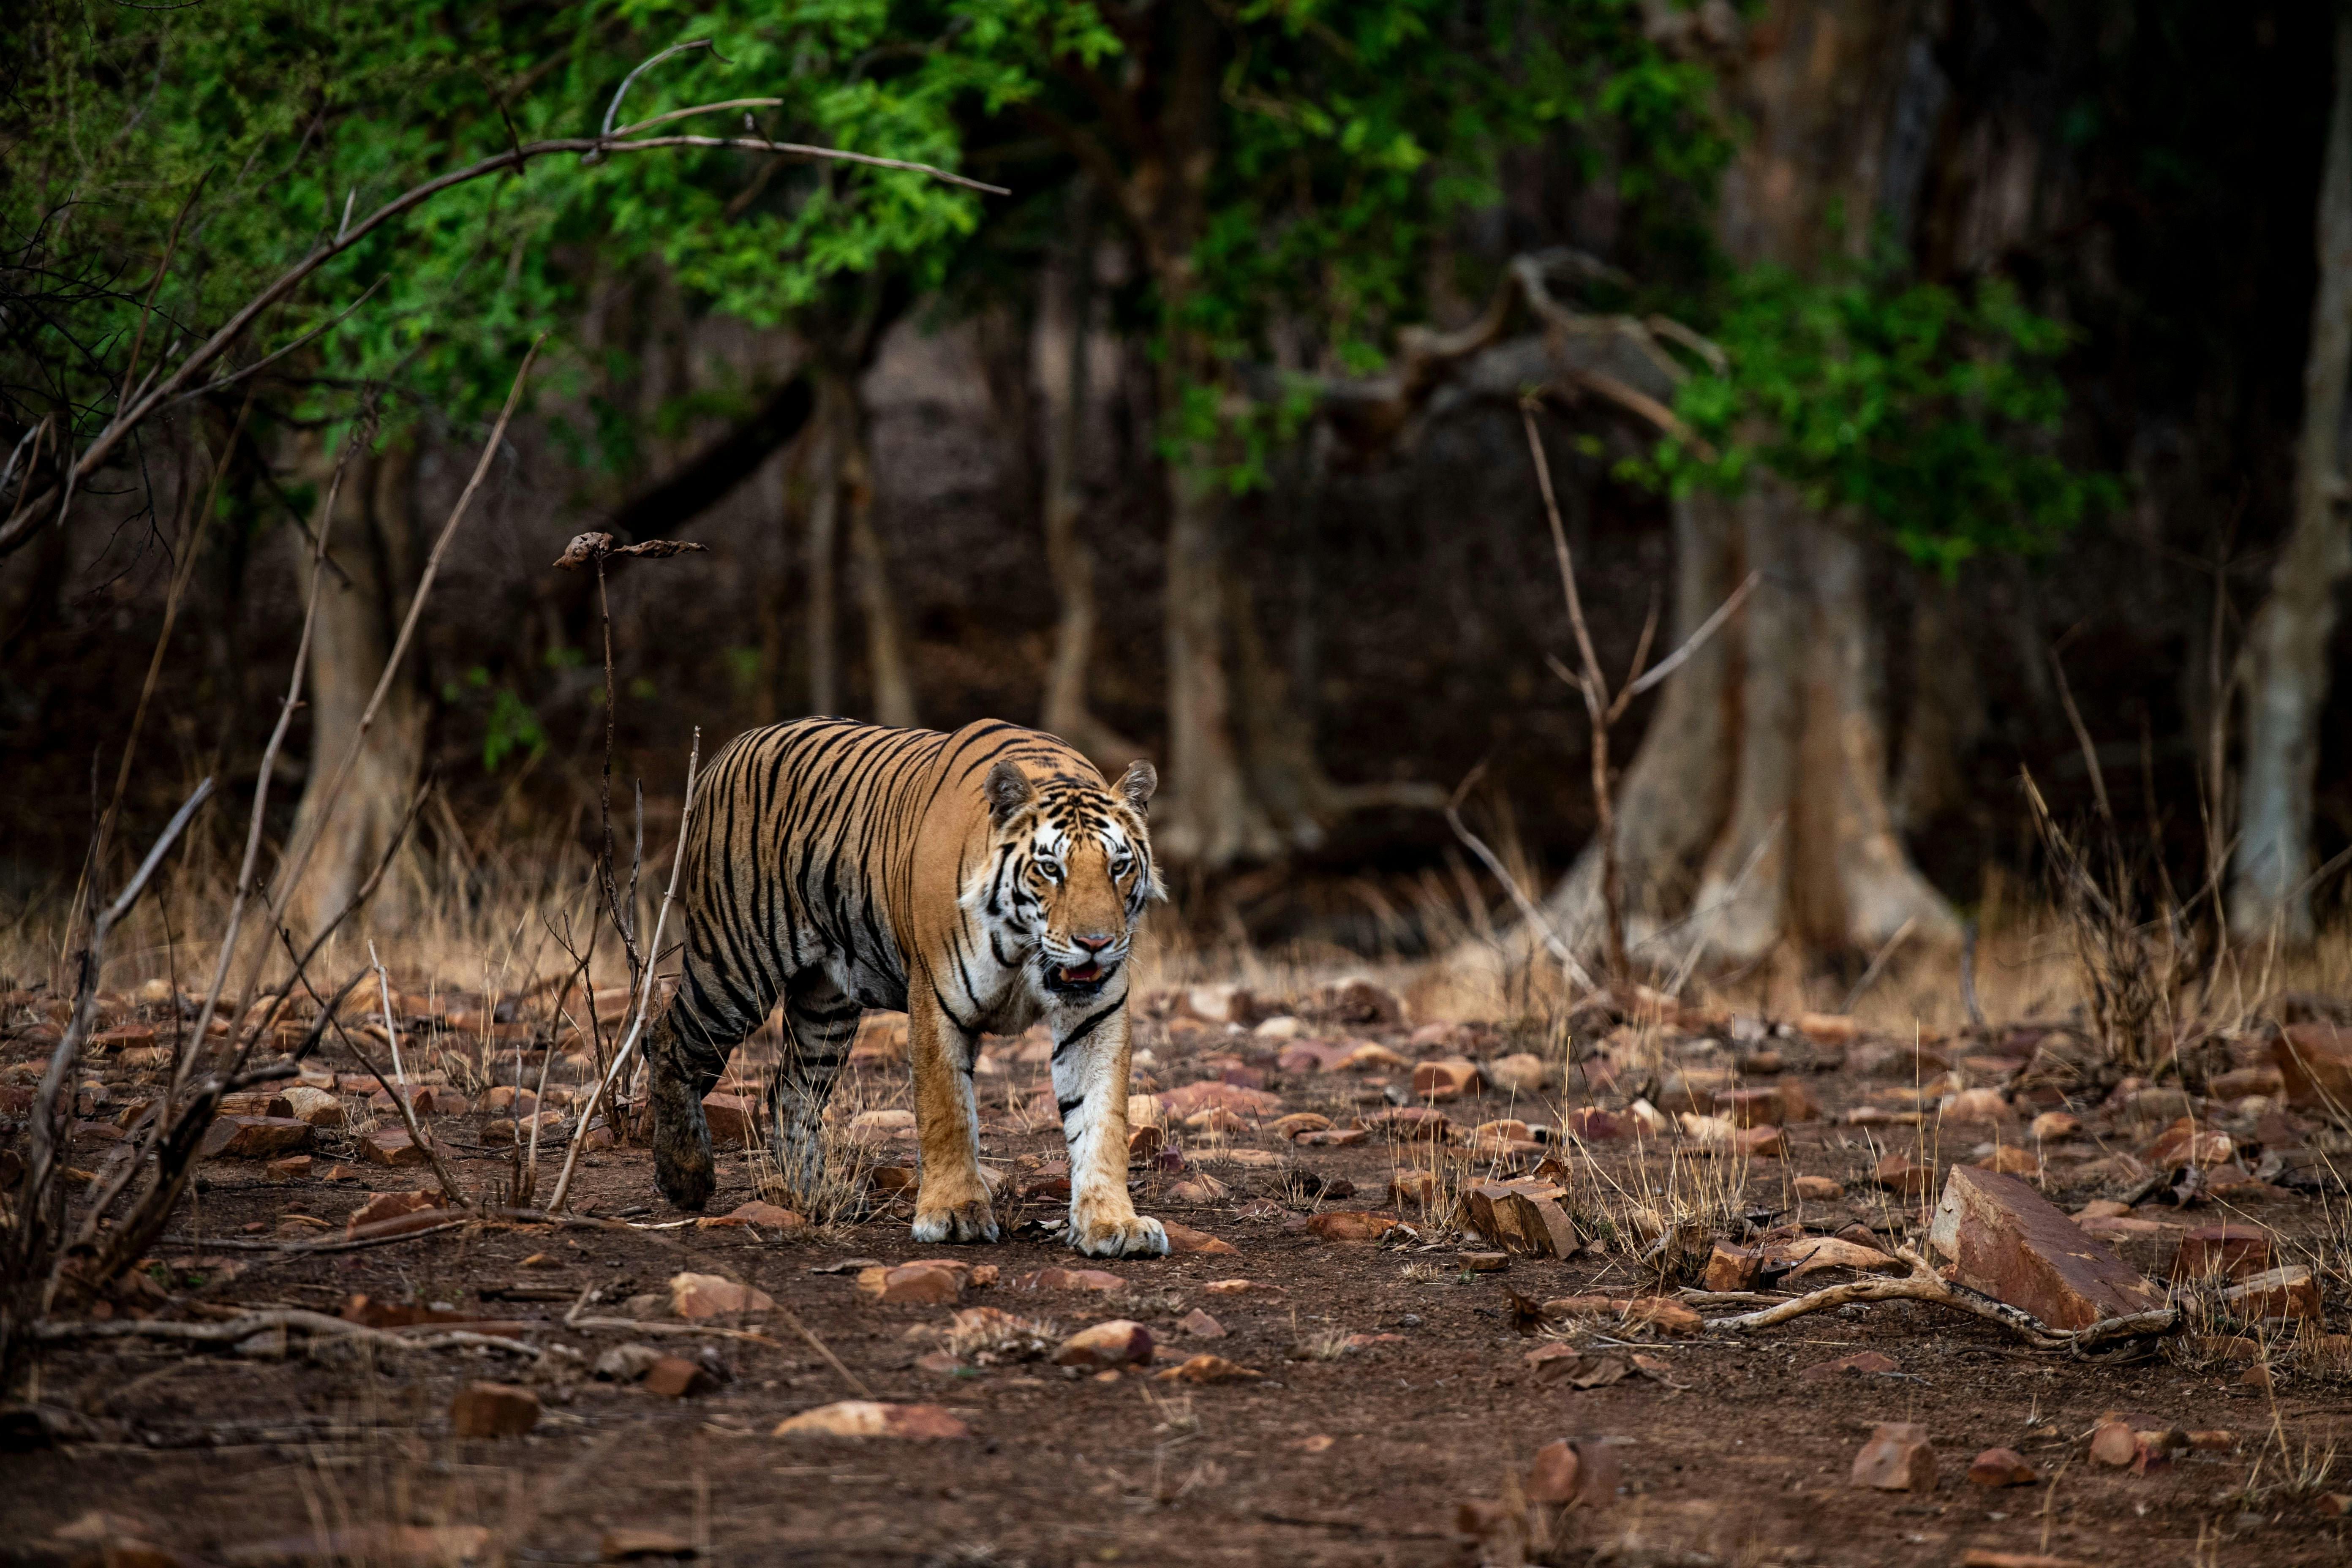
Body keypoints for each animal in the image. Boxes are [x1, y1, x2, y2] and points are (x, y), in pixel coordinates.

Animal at [643, 716, 1171, 1258]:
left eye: (1119, 866)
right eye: (1050, 868)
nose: (1096, 943)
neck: (1027, 950)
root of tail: (730, 747)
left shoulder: (1096, 1016)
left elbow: (1102, 1120)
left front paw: (1112, 1223)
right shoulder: (937, 1002)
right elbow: (947, 1113)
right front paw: (955, 1214)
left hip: (826, 1008)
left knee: (791, 1091)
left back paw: (815, 1194)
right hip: (734, 970)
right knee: (666, 1039)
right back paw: (685, 1175)